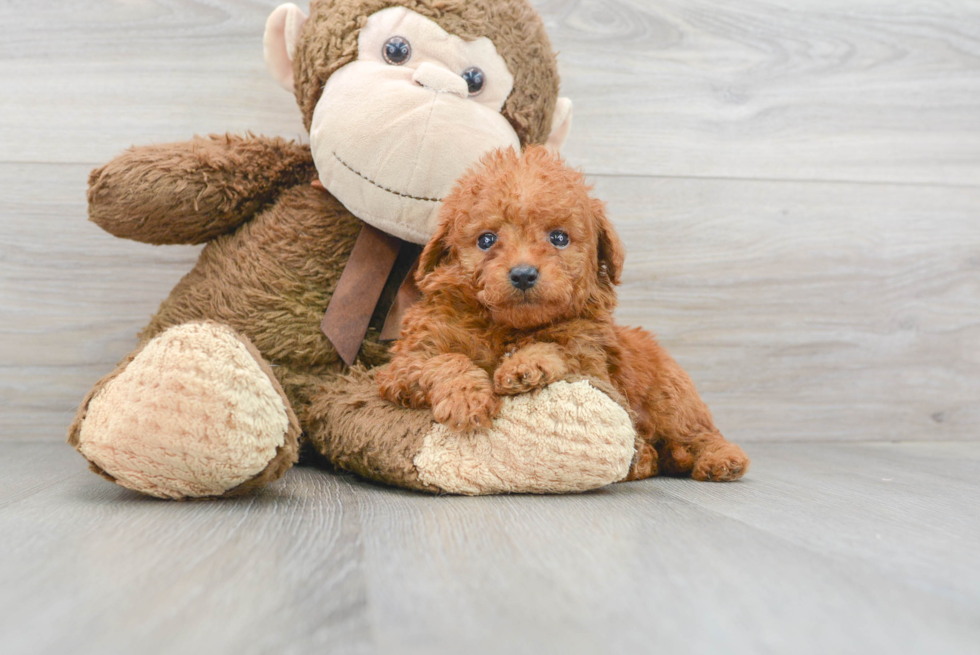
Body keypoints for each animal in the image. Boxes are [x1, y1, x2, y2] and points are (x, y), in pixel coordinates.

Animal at [378, 146, 752, 482]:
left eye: (559, 238)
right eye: (486, 240)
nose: (523, 274)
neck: (508, 327)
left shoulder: (594, 364)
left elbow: (562, 349)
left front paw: (524, 365)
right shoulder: (403, 364)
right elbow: (443, 361)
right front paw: (466, 399)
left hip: (671, 400)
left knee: (699, 434)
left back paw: (721, 460)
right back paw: (646, 458)